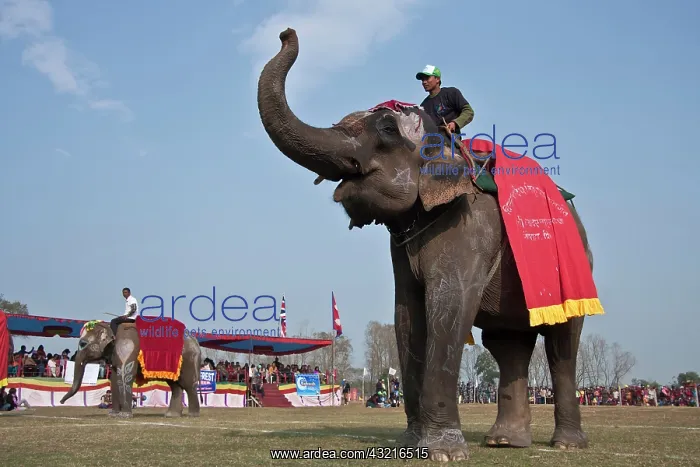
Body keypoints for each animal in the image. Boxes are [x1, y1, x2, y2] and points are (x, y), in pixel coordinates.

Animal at [60, 320, 202, 418]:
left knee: (188, 385)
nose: (61, 402)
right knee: (175, 386)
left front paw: (124, 416)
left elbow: (124, 376)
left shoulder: (127, 347)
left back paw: (192, 415)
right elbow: (114, 379)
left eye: (83, 344)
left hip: (189, 359)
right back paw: (171, 415)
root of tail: (196, 341)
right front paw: (113, 415)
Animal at [257, 28, 595, 462]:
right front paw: (410, 445)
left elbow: (448, 305)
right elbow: (406, 314)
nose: (286, 33)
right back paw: (504, 441)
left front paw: (443, 453)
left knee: (562, 343)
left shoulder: (471, 227)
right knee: (507, 345)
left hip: (576, 269)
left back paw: (566, 444)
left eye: (386, 129)